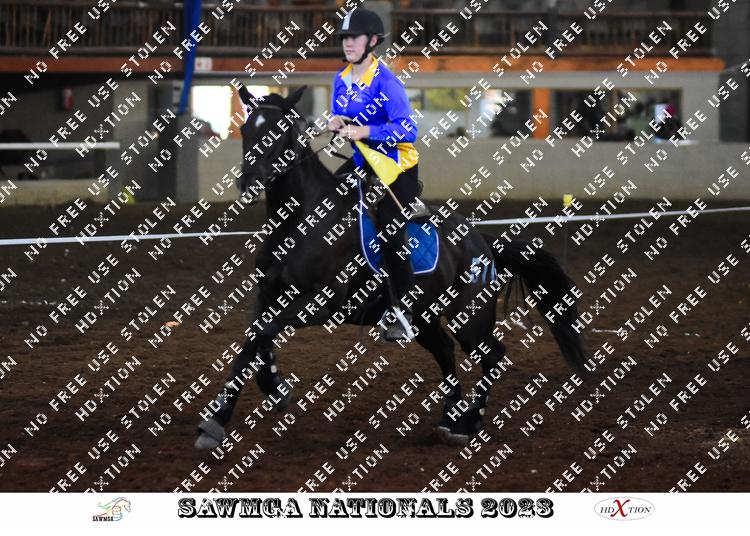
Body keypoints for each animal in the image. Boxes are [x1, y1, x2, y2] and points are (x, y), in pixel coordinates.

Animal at [195, 85, 587, 448]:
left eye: (279, 130)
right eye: (246, 129)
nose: (249, 182)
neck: (302, 222)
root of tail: (483, 242)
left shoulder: (321, 304)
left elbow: (263, 333)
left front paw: (269, 389)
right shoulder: (266, 297)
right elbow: (253, 340)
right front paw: (225, 415)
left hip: (470, 317)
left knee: (493, 356)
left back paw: (468, 423)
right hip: (425, 317)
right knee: (446, 352)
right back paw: (450, 418)